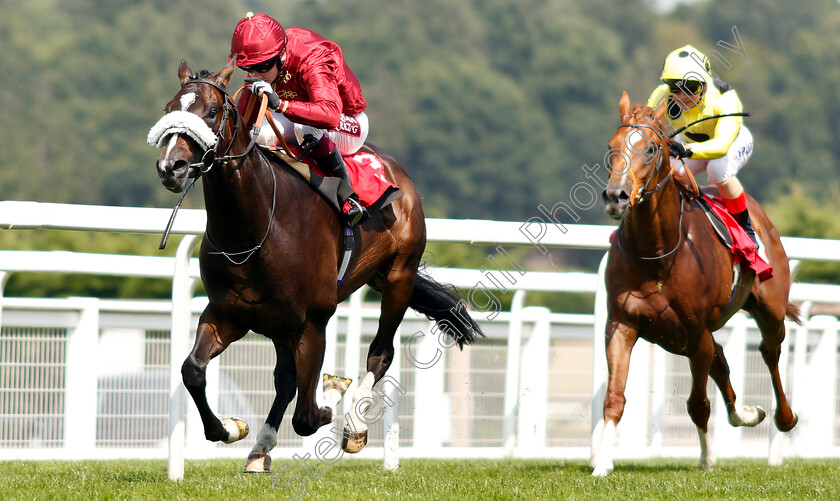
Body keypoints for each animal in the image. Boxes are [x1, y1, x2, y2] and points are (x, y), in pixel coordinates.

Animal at [148, 60, 482, 470]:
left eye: (211, 111)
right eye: (169, 109)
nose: (171, 167)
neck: (257, 226)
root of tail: (398, 173)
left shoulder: (313, 321)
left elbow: (308, 416)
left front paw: (335, 395)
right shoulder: (227, 314)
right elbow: (193, 371)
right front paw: (230, 428)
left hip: (398, 277)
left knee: (380, 354)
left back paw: (353, 424)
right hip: (283, 321)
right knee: (285, 380)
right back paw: (260, 450)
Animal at [592, 92, 800, 474]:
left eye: (650, 149)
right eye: (611, 146)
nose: (616, 196)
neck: (657, 251)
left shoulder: (695, 332)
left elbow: (698, 404)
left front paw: (707, 459)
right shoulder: (622, 324)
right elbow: (614, 398)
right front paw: (601, 464)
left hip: (769, 309)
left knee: (769, 351)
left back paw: (784, 417)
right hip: (674, 338)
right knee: (722, 359)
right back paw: (746, 413)